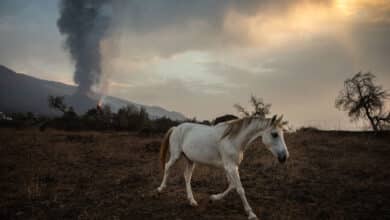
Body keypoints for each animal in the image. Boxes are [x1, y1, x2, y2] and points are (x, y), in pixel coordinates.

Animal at [157, 114, 288, 219]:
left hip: (190, 160)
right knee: (167, 167)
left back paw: (192, 201)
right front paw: (251, 214)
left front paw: (214, 197)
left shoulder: (230, 167)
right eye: (274, 134)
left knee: (187, 177)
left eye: (282, 134)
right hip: (176, 155)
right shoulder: (231, 167)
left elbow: (232, 185)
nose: (284, 157)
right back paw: (160, 189)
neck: (233, 140)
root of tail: (176, 128)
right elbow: (240, 189)